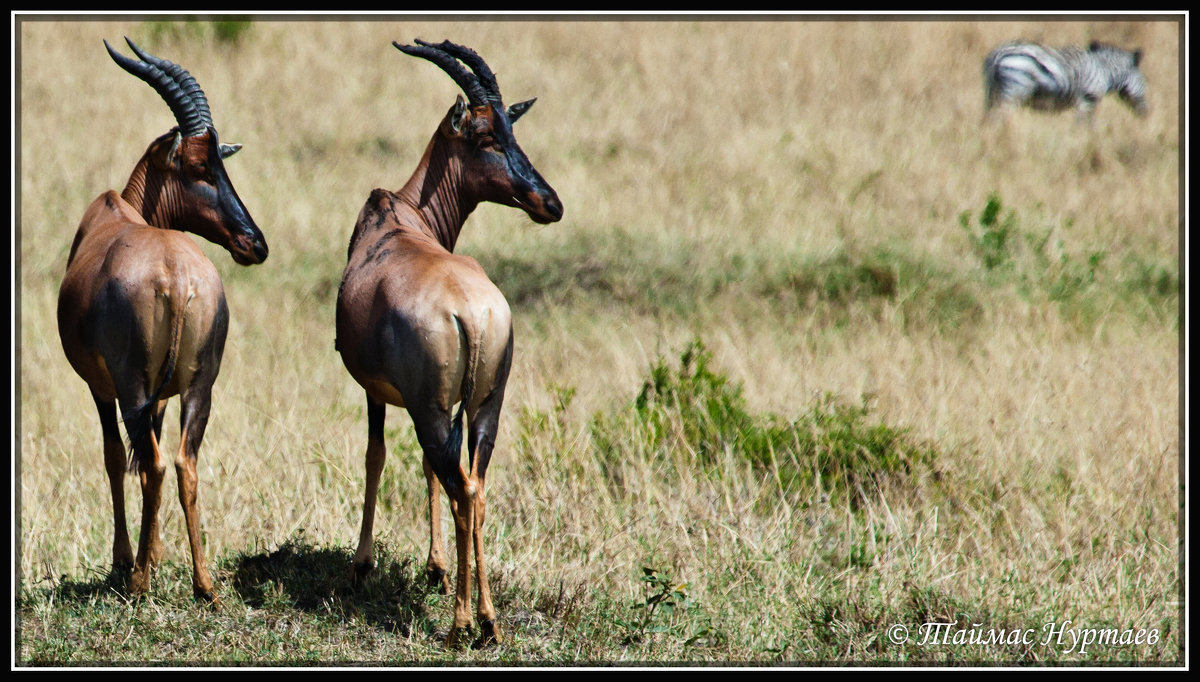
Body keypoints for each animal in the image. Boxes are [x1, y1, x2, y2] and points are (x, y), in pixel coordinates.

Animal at [56, 37, 267, 602]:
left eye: (217, 163)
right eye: (201, 167)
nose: (254, 243)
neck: (117, 212)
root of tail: (175, 272)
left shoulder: (102, 387)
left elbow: (114, 457)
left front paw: (126, 560)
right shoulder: (165, 395)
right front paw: (153, 553)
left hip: (131, 385)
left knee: (149, 462)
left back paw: (139, 583)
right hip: (201, 387)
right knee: (183, 463)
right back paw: (204, 584)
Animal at [336, 39, 564, 648]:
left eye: (511, 129)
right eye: (489, 135)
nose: (550, 203)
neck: (397, 217)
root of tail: (472, 313)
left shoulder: (379, 392)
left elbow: (375, 457)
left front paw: (362, 565)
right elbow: (421, 469)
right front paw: (435, 569)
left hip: (431, 411)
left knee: (460, 486)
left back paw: (462, 623)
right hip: (485, 407)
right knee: (476, 488)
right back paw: (488, 620)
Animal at [979, 39, 1147, 122]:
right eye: (1146, 83)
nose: (1146, 114)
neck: (1105, 71)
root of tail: (998, 54)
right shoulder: (1087, 100)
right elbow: (1084, 126)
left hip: (992, 91)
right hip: (1015, 89)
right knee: (1000, 116)